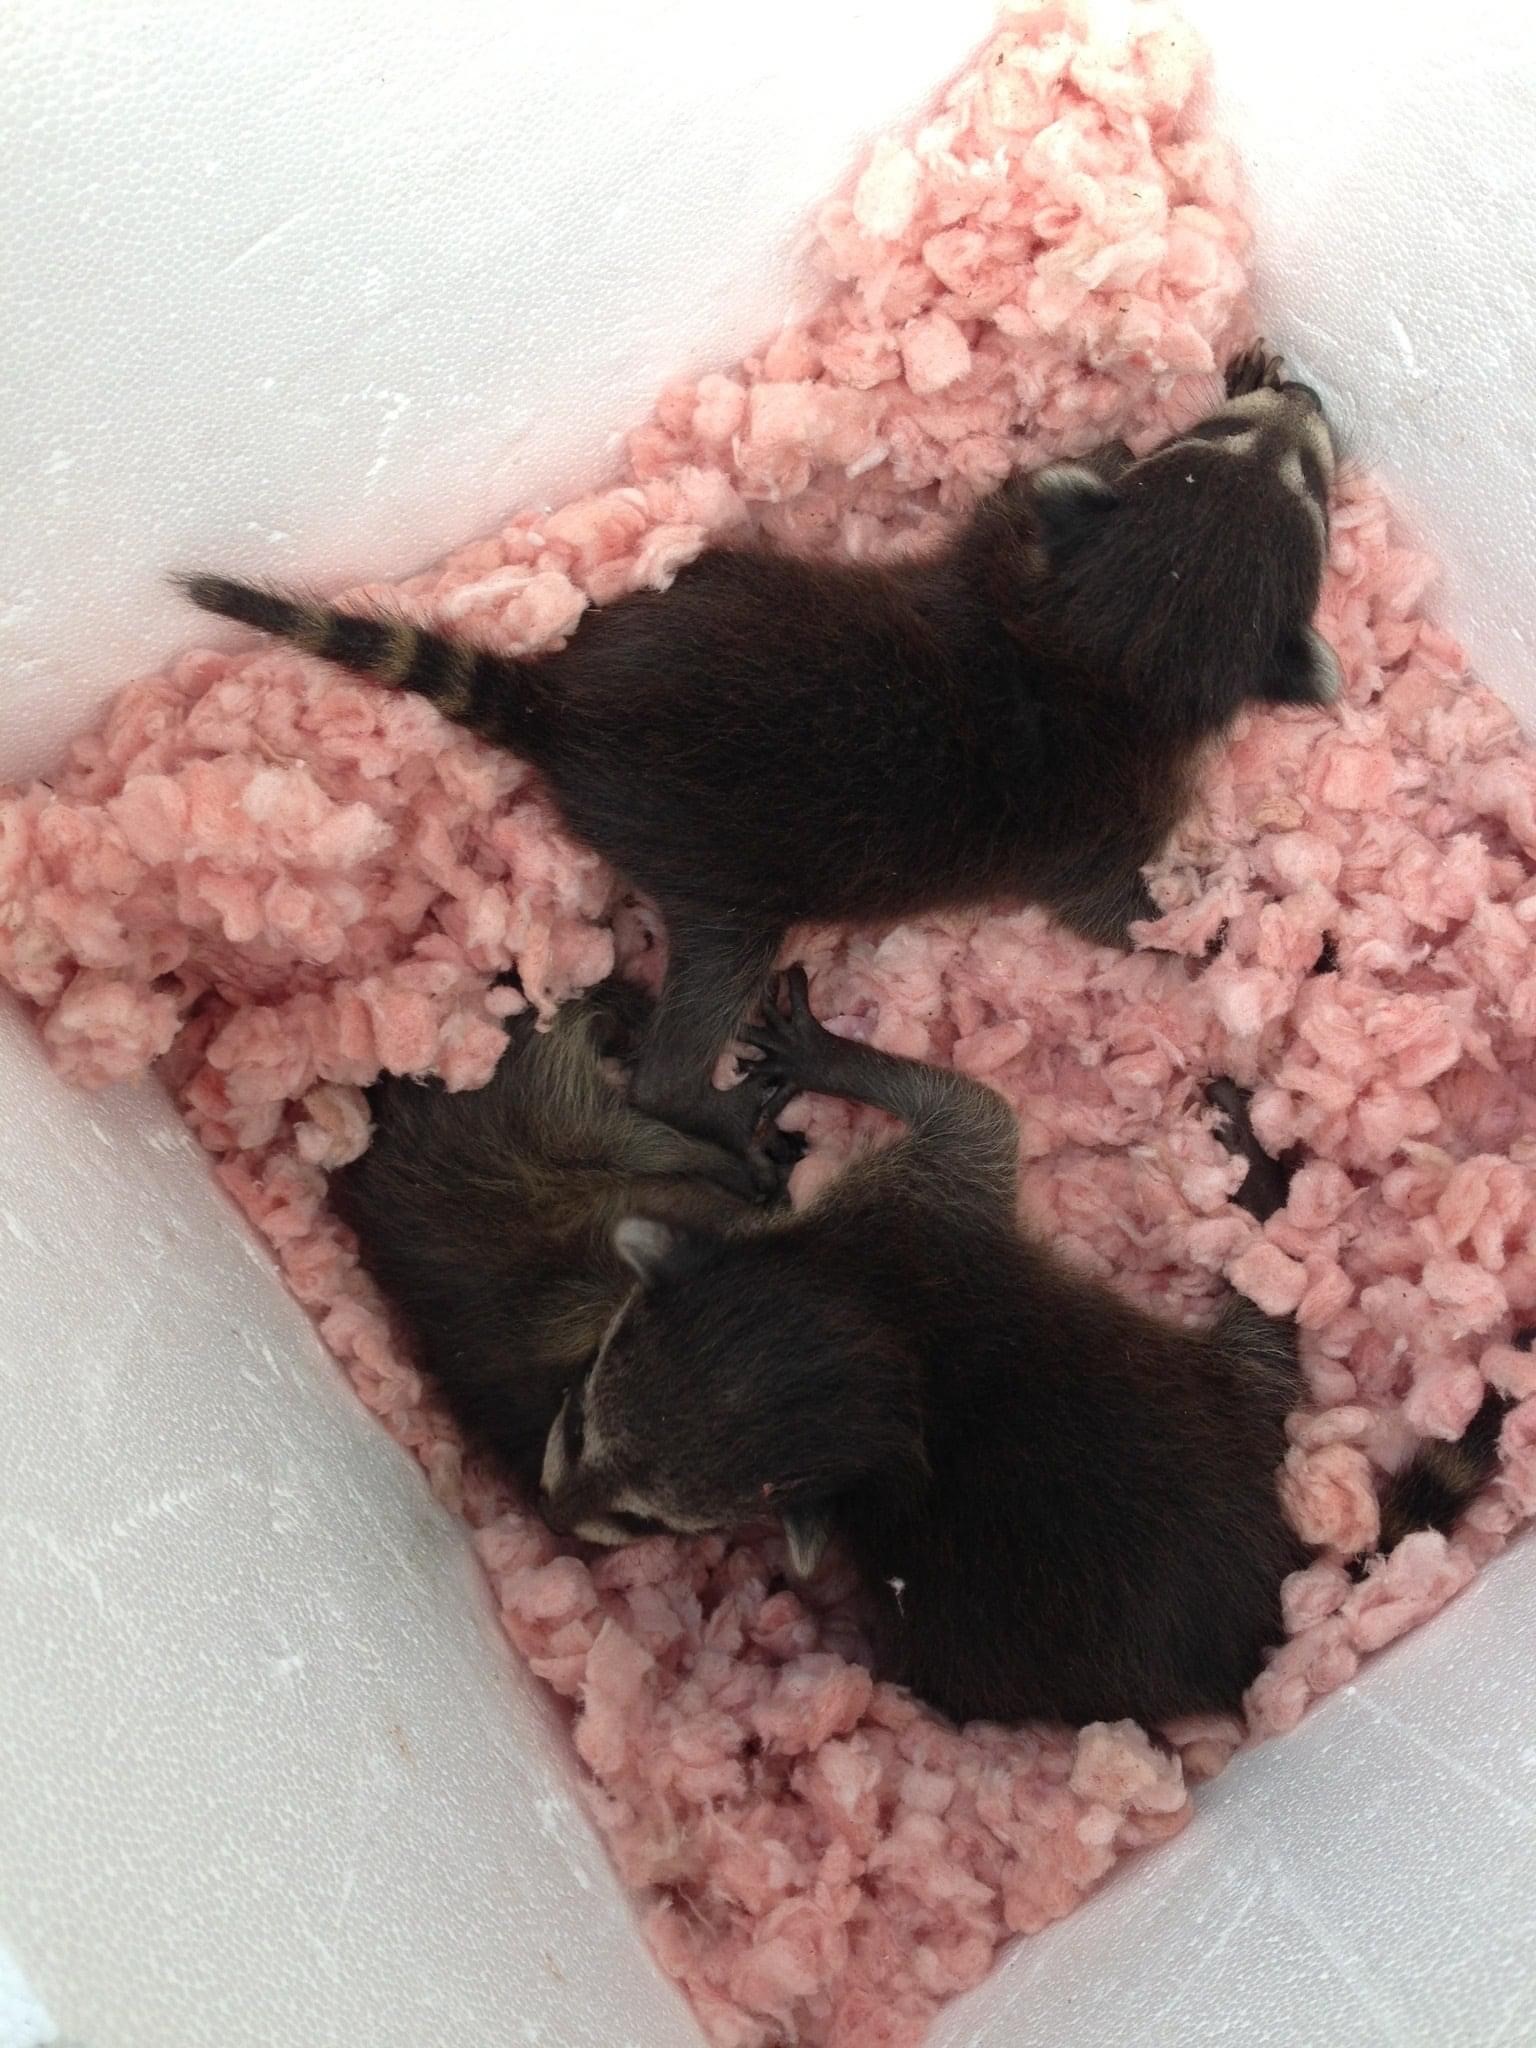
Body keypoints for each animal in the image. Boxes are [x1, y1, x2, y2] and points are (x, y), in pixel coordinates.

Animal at [181, 343, 1338, 1191]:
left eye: (1296, 472)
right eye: (1259, 456)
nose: (1306, 401)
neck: (1117, 644)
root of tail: (569, 710)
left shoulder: (1003, 575)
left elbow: (1007, 505)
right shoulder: (1096, 809)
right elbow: (1122, 918)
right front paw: (1221, 936)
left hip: (701, 596)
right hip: (724, 882)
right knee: (691, 1023)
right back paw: (693, 1093)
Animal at [536, 969, 1507, 1730]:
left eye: (650, 1522)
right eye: (581, 1414)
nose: (551, 1514)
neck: (876, 1338)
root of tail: (1266, 1622)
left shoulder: (919, 1215)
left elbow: (973, 1112)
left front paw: (836, 1060)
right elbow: (971, 1115)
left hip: (1222, 1419)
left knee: (1263, 1342)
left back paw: (1263, 1218)